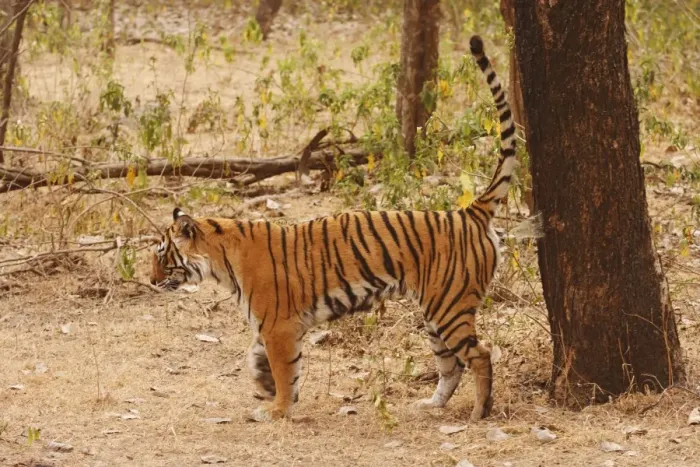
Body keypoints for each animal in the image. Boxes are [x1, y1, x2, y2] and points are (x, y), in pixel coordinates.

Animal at [150, 35, 516, 422]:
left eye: (162, 256)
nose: (151, 281)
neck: (222, 260)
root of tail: (470, 212)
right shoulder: (274, 326)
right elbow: (260, 357)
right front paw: (265, 386)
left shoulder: (279, 325)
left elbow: (284, 369)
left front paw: (277, 409)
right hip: (435, 312)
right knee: (451, 365)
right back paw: (431, 404)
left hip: (449, 306)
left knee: (480, 354)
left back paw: (480, 412)